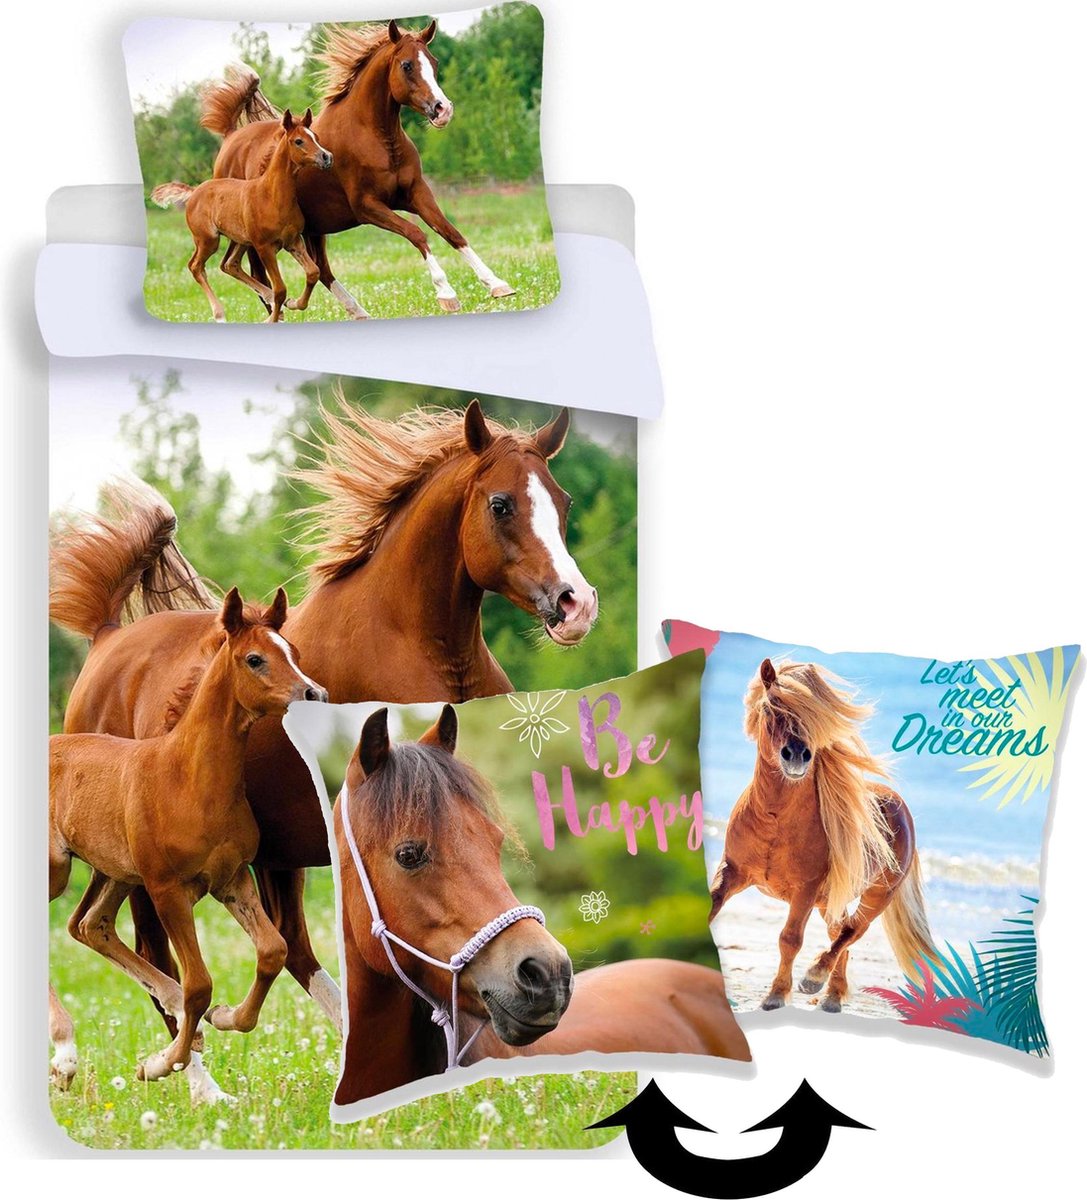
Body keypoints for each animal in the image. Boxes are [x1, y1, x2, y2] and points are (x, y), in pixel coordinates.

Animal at [48, 588, 328, 1098]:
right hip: (60, 870)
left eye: (294, 652)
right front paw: (160, 1063)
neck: (187, 777)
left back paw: (176, 1013)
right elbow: (200, 982)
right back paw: (65, 1055)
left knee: (89, 925)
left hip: (116, 873)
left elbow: (272, 952)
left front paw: (224, 1018)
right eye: (255, 658)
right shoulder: (167, 890)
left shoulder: (232, 880)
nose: (314, 695)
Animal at [151, 109, 333, 323]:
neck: (272, 196)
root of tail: (194, 191)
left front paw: (294, 303)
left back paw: (268, 298)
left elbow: (313, 272)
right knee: (195, 266)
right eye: (298, 141)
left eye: (316, 137)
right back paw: (220, 314)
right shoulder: (264, 247)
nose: (327, 157)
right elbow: (281, 289)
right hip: (208, 240)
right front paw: (274, 318)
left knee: (230, 264)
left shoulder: (293, 241)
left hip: (241, 241)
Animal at [201, 21, 515, 320]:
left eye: (434, 62)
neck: (376, 138)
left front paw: (497, 284)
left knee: (321, 270)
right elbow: (417, 234)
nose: (442, 109)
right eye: (407, 65)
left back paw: (358, 311)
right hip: (257, 235)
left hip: (314, 228)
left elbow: (451, 232)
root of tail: (230, 137)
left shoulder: (416, 193)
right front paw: (447, 294)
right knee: (254, 272)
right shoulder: (367, 207)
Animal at [708, 658, 937, 1013]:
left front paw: (776, 995)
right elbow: (711, 906)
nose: (796, 755)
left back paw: (816, 980)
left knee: (852, 930)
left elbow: (790, 939)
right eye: (770, 708)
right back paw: (832, 996)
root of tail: (900, 806)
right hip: (829, 900)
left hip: (876, 895)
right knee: (839, 931)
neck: (774, 820)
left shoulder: (805, 889)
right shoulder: (733, 871)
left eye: (811, 716)